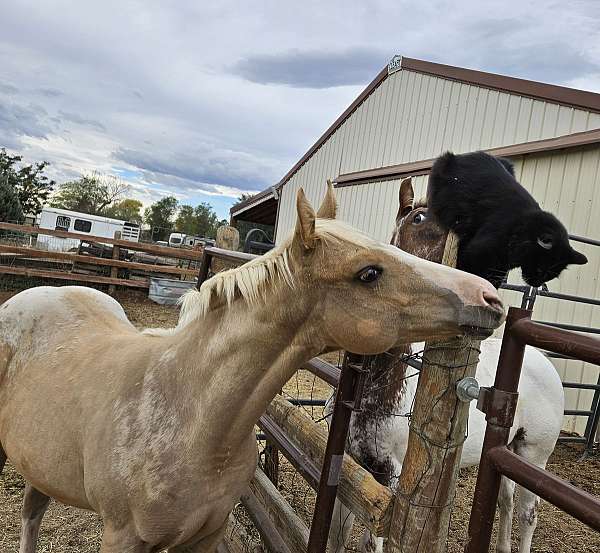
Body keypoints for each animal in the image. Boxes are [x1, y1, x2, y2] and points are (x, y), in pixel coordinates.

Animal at [0, 185, 506, 552]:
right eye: (368, 272)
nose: (489, 297)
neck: (192, 417)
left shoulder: (205, 536)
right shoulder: (123, 540)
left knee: (32, 510)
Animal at [326, 180, 564, 552]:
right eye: (419, 218)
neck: (378, 390)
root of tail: (543, 361)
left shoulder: (392, 478)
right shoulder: (352, 465)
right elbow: (338, 534)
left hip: (533, 454)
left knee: (529, 513)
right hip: (507, 448)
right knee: (506, 499)